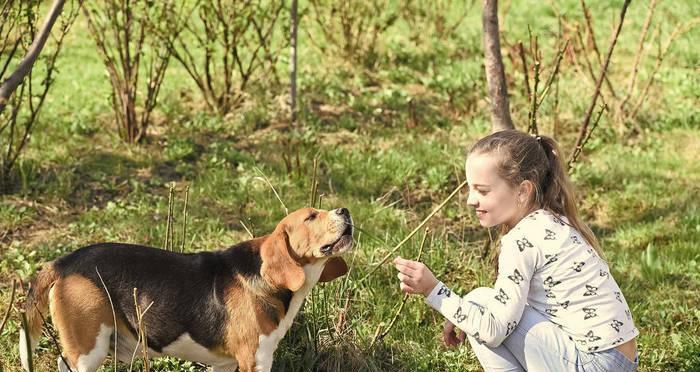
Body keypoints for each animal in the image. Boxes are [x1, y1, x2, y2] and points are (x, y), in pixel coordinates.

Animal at [19, 206, 352, 372]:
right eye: (311, 216)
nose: (345, 210)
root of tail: (64, 262)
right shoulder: (256, 359)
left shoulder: (226, 365)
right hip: (90, 348)